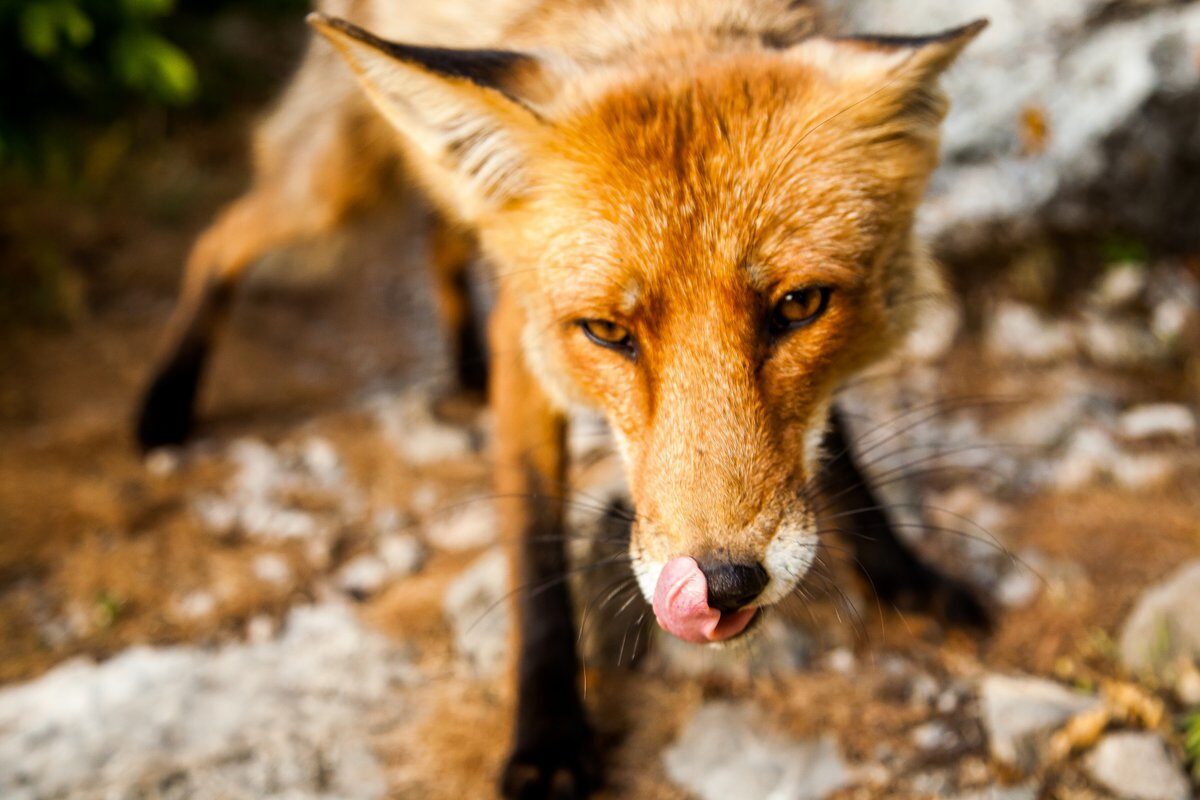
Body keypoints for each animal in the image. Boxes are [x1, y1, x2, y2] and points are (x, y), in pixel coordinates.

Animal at [133, 3, 993, 796]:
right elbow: (535, 548)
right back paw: (163, 405)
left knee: (438, 233)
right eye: (608, 331)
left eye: (799, 306)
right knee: (218, 240)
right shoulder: (528, 335)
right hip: (332, 189)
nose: (722, 586)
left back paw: (461, 368)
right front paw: (547, 738)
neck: (661, 22)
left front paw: (901, 571)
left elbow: (831, 447)